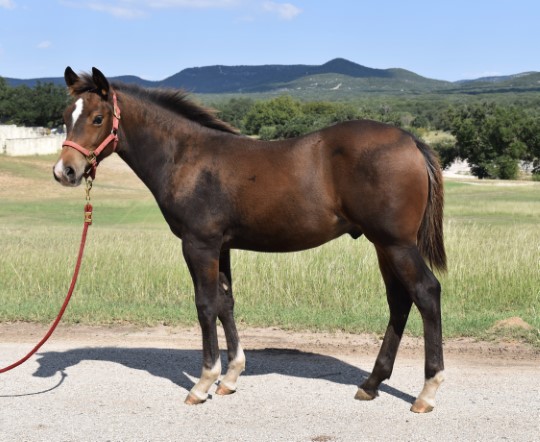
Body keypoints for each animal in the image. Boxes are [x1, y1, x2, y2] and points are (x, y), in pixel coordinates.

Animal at [52, 67, 446, 412]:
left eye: (98, 118)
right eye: (66, 116)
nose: (65, 171)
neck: (186, 156)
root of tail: (410, 140)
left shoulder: (199, 244)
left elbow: (205, 305)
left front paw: (203, 383)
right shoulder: (222, 246)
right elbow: (225, 303)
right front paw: (230, 377)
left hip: (397, 244)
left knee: (426, 292)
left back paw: (427, 392)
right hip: (383, 245)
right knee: (399, 301)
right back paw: (371, 384)